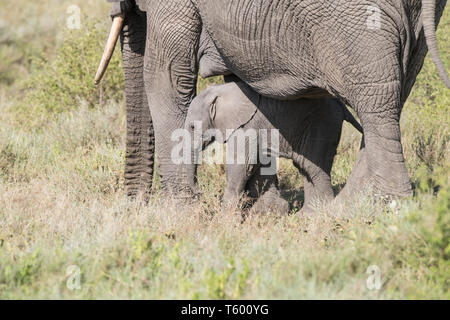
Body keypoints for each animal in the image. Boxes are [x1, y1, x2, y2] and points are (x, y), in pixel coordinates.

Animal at [96, 0, 448, 200]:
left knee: (376, 103)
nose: (135, 205)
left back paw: (376, 210)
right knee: (392, 97)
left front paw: (182, 214)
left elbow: (166, 77)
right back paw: (345, 210)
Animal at [185, 81, 364, 214]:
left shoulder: (247, 125)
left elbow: (241, 166)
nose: (199, 192)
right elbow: (257, 164)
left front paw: (226, 219)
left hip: (323, 123)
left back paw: (316, 214)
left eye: (192, 127)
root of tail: (342, 106)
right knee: (304, 167)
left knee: (313, 168)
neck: (220, 91)